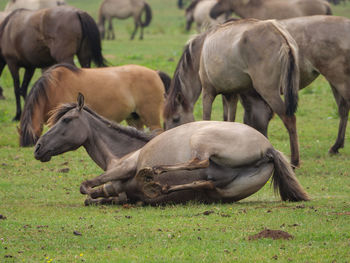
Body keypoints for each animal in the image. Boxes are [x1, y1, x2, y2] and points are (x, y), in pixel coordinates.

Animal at [34, 94, 308, 206]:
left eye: (66, 120)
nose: (37, 147)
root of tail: (269, 148)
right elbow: (95, 196)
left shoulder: (125, 167)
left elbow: (87, 186)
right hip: (222, 190)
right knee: (205, 182)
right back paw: (158, 187)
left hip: (202, 140)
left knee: (199, 162)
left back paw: (153, 174)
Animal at [164, 19, 300, 167]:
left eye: (176, 119)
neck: (200, 51)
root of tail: (279, 34)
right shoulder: (231, 94)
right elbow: (229, 120)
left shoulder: (208, 92)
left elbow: (207, 119)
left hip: (268, 91)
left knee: (289, 119)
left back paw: (295, 161)